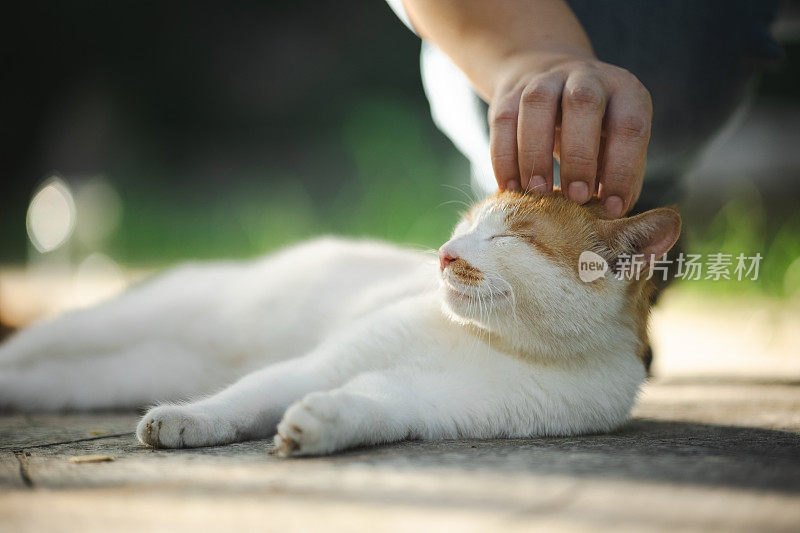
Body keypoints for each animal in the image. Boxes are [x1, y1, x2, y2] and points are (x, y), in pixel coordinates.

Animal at [0, 189, 680, 456]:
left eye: (510, 236)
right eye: (466, 226)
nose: (446, 253)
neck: (488, 342)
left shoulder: (428, 404)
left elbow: (372, 406)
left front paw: (317, 427)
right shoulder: (323, 362)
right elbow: (245, 398)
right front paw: (188, 421)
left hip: (116, 374)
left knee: (54, 379)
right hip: (128, 318)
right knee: (35, 347)